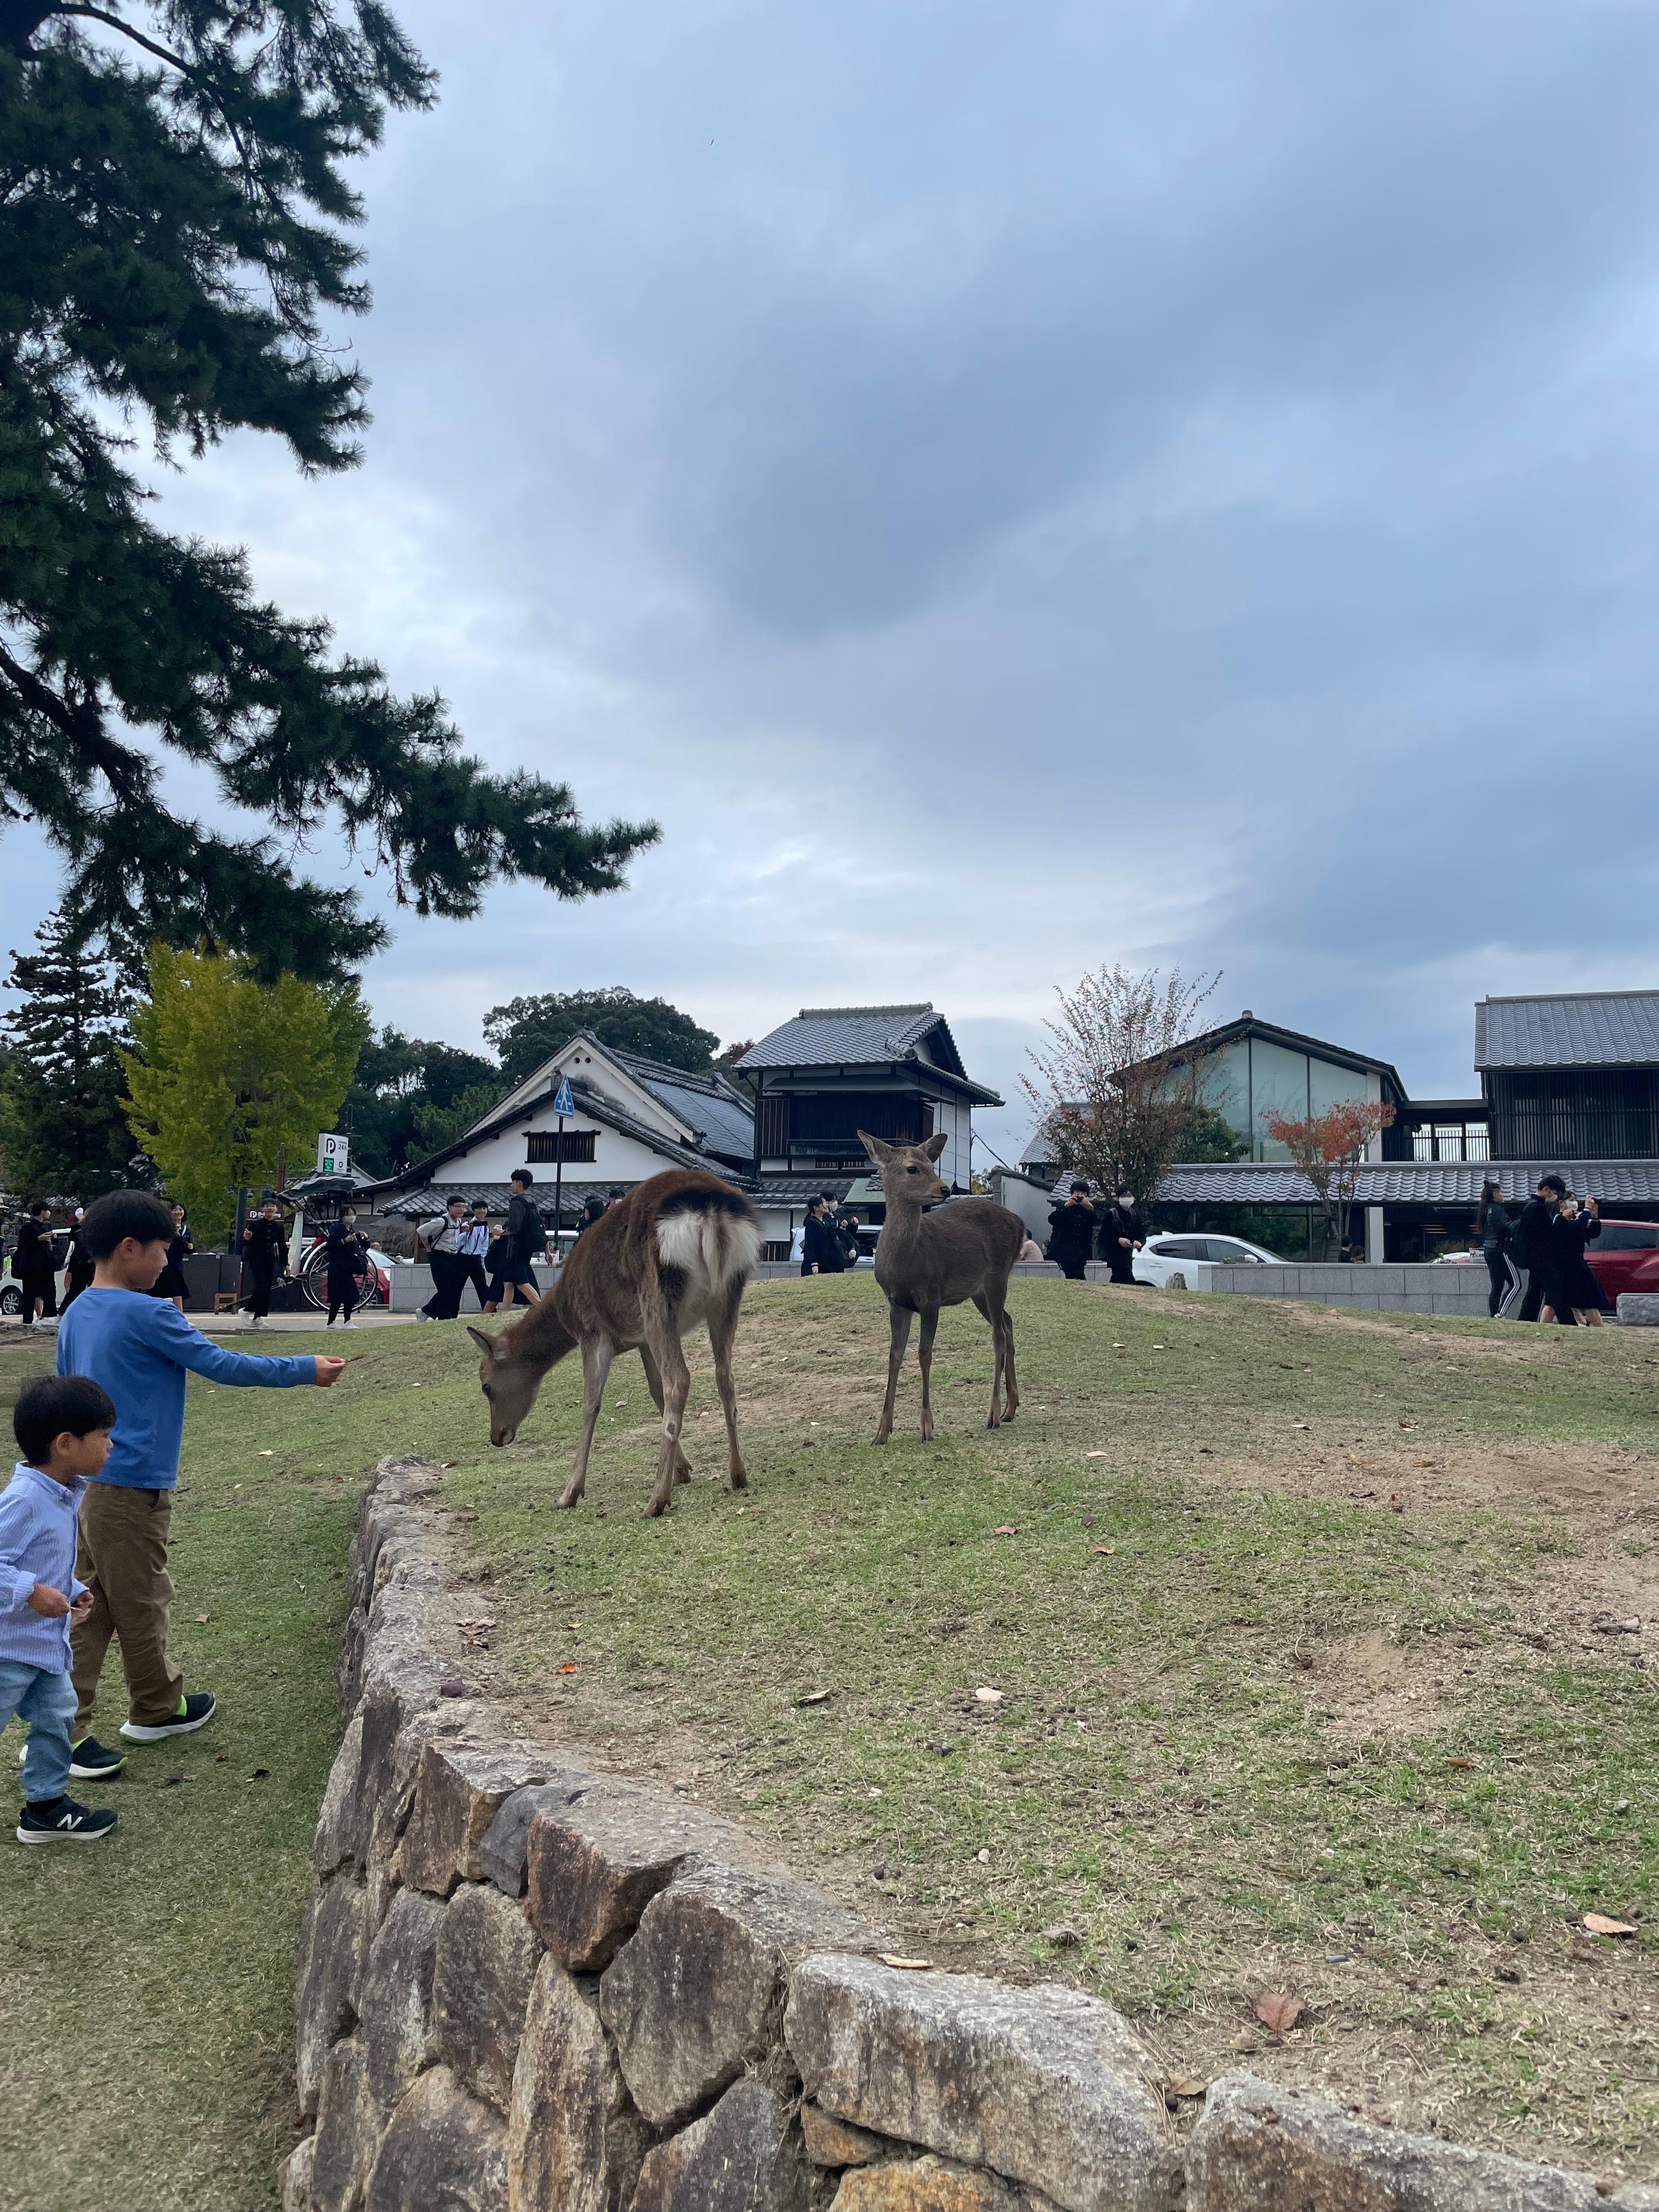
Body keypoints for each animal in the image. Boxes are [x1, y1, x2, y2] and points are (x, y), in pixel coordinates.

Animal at [468, 1170, 765, 1517]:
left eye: (486, 1386)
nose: (496, 1437)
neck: (565, 1307)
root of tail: (710, 1212)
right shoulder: (642, 1341)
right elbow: (654, 1391)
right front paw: (683, 1470)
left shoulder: (593, 1330)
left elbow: (591, 1402)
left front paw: (569, 1493)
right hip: (728, 1294)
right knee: (724, 1376)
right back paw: (738, 1474)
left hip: (658, 1297)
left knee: (679, 1379)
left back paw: (657, 1500)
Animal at [858, 1131, 1027, 1443]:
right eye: (912, 1168)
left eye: (932, 1164)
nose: (945, 1189)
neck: (905, 1265)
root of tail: (1021, 1225)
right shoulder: (895, 1302)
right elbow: (894, 1355)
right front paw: (882, 1432)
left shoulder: (931, 1297)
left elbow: (924, 1354)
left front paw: (926, 1428)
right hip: (978, 1291)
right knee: (1008, 1322)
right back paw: (1011, 1408)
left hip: (998, 1276)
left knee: (998, 1335)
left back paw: (993, 1414)